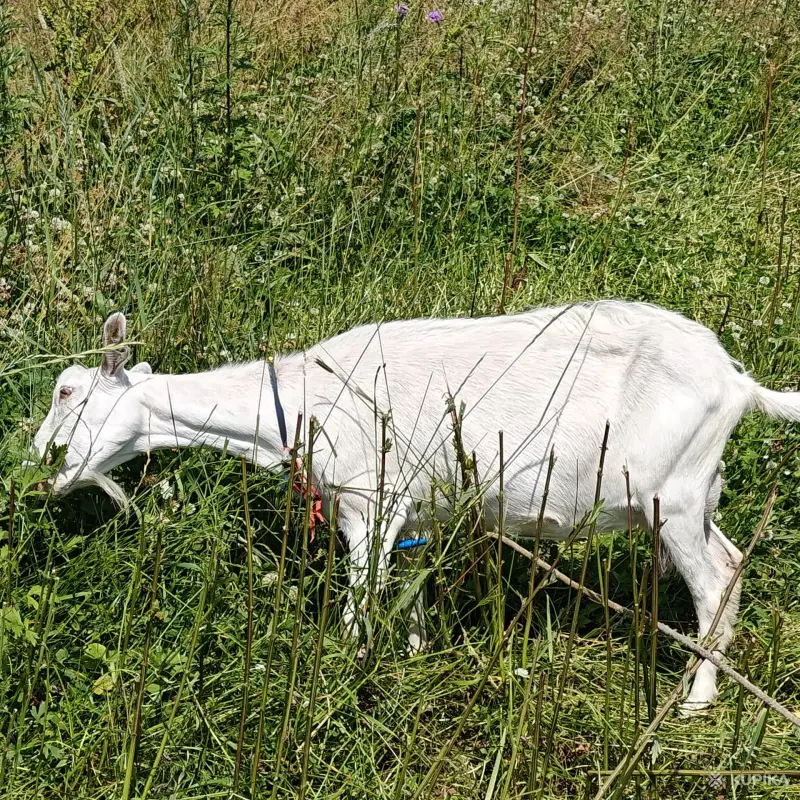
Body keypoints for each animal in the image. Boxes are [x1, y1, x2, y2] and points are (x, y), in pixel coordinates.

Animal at [31, 300, 800, 711]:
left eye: (67, 390)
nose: (39, 465)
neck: (298, 406)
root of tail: (738, 382)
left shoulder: (370, 504)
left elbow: (356, 604)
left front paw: (337, 682)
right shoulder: (407, 516)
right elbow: (406, 596)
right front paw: (413, 657)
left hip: (675, 494)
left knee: (717, 582)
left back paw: (695, 702)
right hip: (693, 493)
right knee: (731, 558)